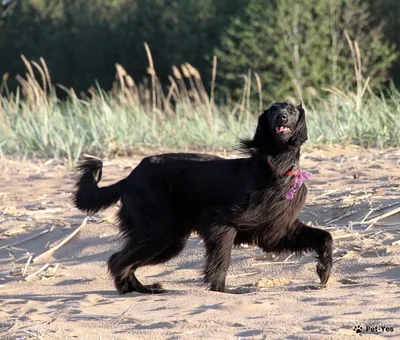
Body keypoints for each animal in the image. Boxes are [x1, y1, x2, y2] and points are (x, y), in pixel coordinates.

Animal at [73, 101, 332, 294]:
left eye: (291, 110)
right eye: (271, 111)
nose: (281, 118)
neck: (276, 168)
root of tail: (129, 177)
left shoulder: (278, 230)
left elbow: (325, 237)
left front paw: (324, 269)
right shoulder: (221, 224)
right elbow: (220, 263)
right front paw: (223, 290)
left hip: (168, 238)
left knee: (125, 261)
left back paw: (140, 288)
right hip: (159, 232)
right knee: (117, 260)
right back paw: (129, 288)